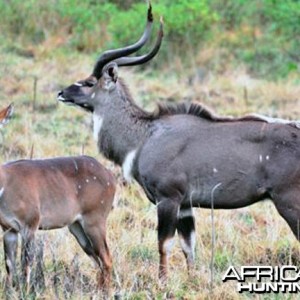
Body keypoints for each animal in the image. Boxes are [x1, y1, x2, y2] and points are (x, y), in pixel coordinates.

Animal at [0, 104, 116, 292]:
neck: (5, 184)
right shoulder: (8, 228)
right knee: (96, 258)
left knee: (106, 258)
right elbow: (9, 265)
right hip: (76, 226)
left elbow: (26, 263)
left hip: (95, 219)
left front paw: (26, 292)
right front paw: (9, 292)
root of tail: (111, 176)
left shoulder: (30, 224)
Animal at [57, 3, 300, 282]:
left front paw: (162, 281)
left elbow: (164, 243)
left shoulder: (168, 198)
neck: (145, 135)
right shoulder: (186, 205)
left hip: (288, 201)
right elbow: (188, 247)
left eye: (88, 82)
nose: (61, 93)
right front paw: (191, 280)